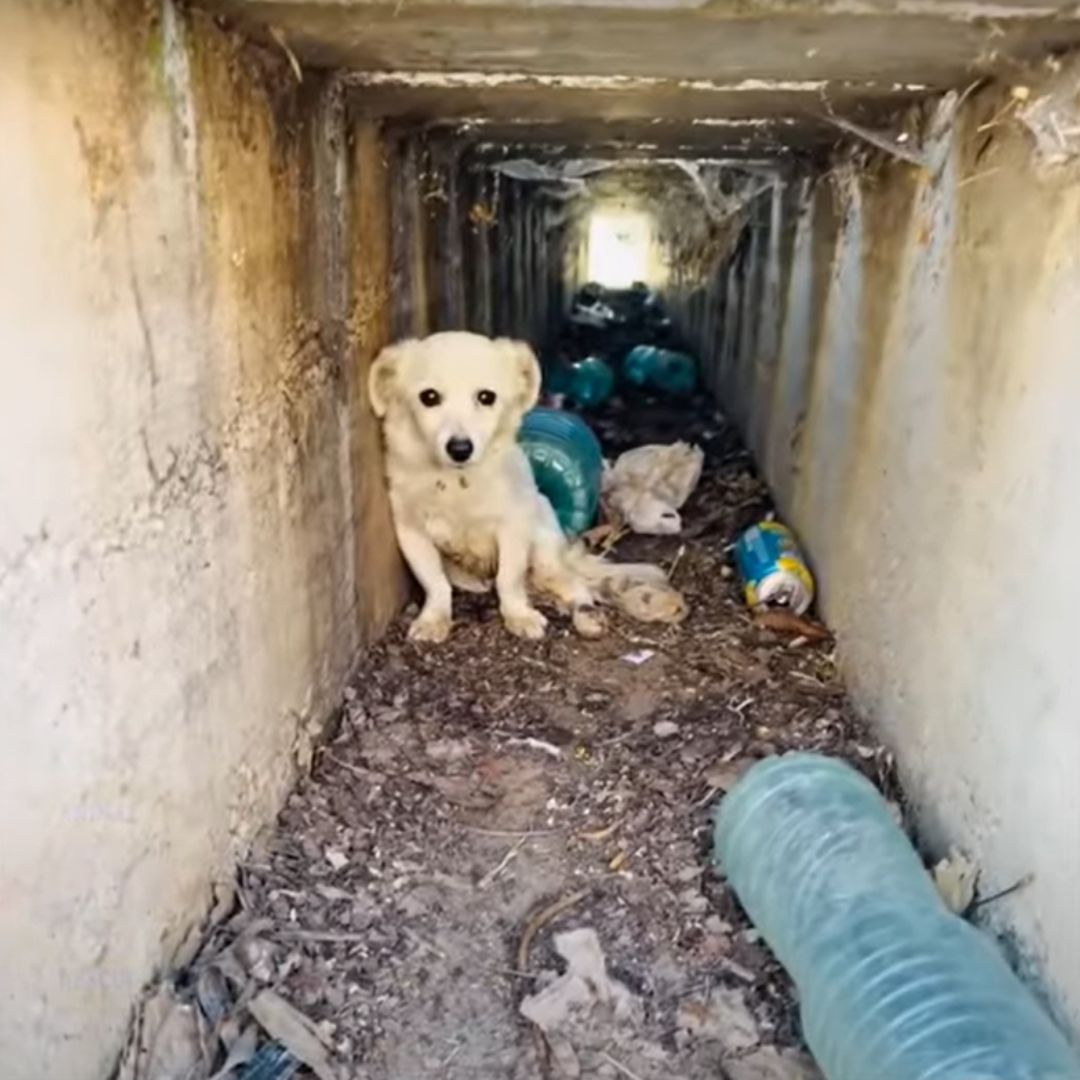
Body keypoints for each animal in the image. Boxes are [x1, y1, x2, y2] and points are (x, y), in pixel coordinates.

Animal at [367, 330, 686, 639]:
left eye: (486, 397)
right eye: (429, 397)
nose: (460, 449)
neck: (459, 483)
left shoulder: (513, 528)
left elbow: (509, 579)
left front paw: (518, 616)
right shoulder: (411, 532)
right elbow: (435, 582)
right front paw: (434, 619)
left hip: (544, 551)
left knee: (572, 586)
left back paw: (585, 615)